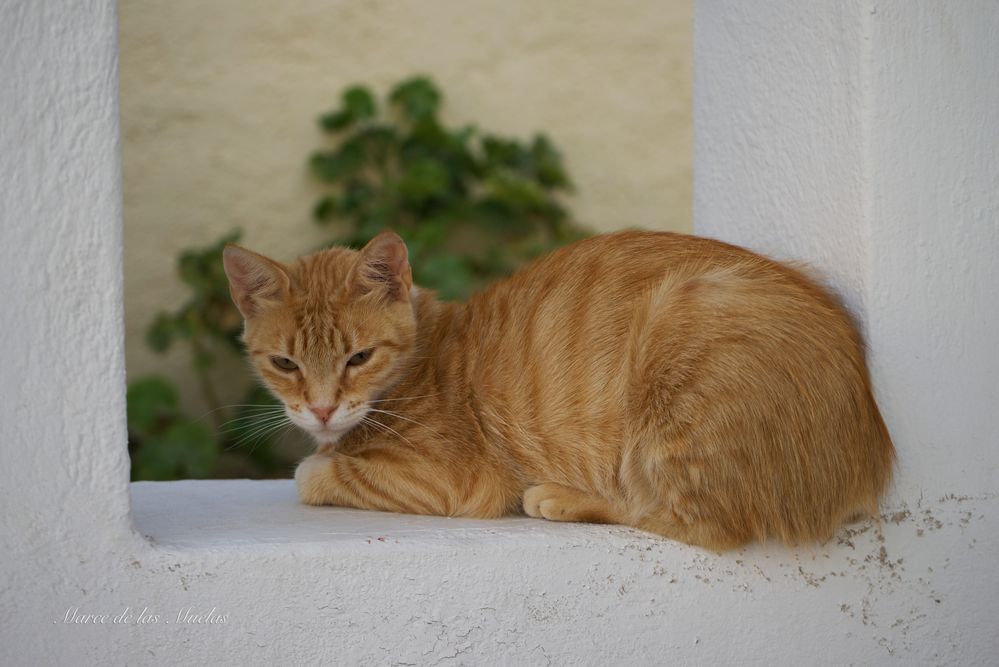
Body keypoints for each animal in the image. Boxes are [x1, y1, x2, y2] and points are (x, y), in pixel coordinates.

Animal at [223, 232, 896, 552]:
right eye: (285, 364)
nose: (321, 408)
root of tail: (871, 452)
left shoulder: (450, 482)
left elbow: (314, 473)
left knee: (694, 520)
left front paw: (322, 459)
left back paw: (564, 497)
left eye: (359, 358)